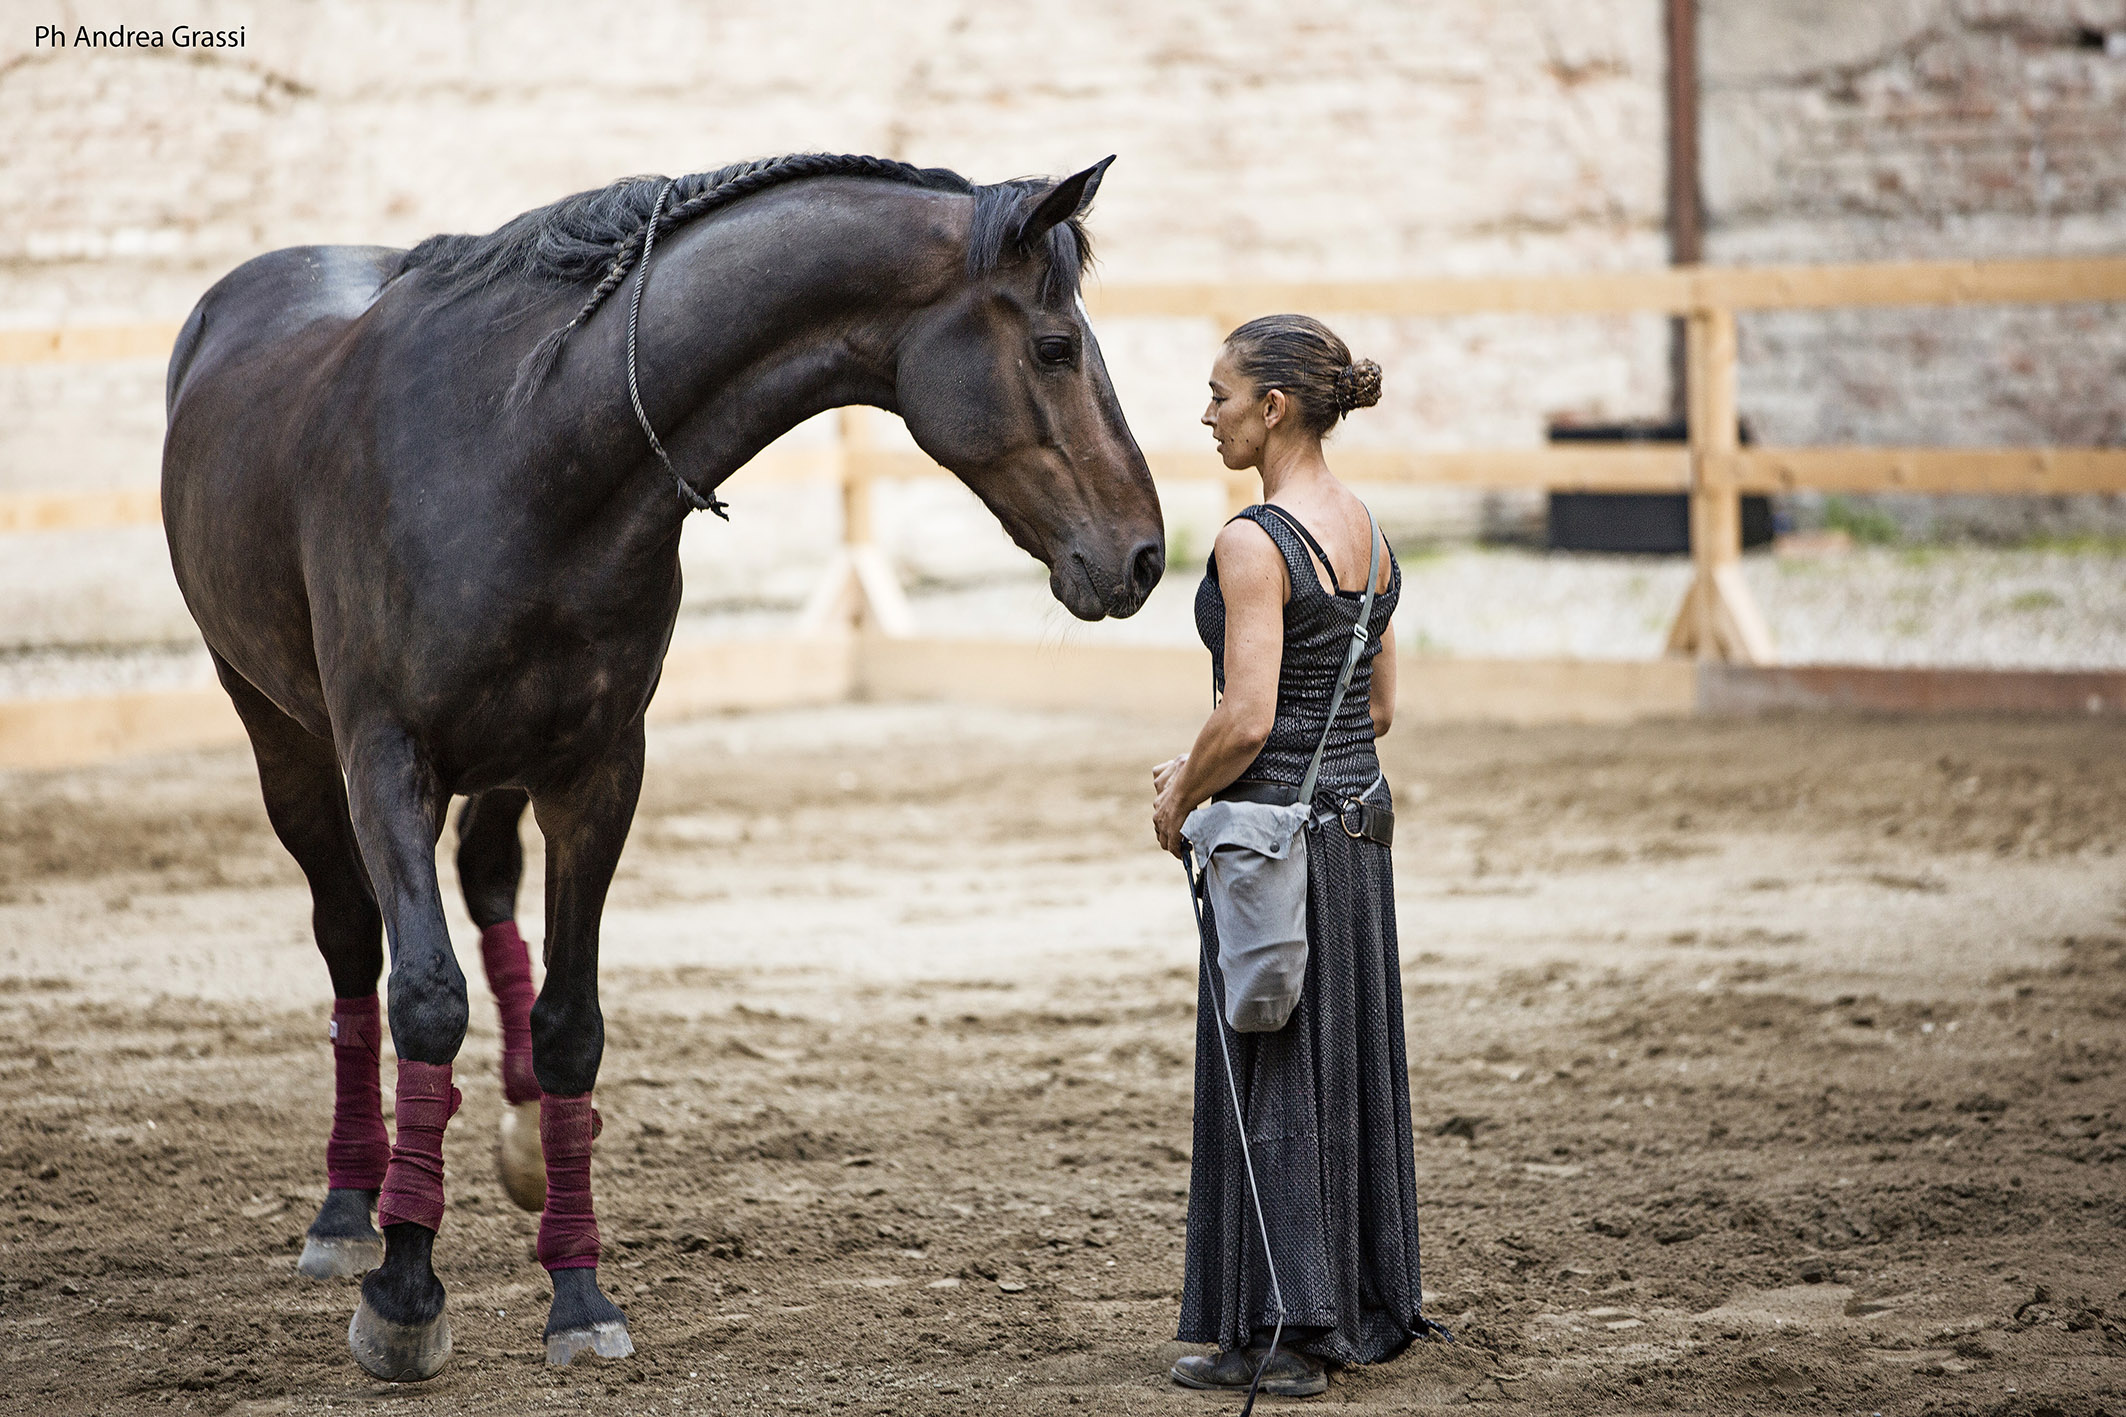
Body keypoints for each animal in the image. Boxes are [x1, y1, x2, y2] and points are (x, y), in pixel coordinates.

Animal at [163, 152, 1165, 1376]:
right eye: (1056, 348)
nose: (1144, 553)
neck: (527, 445)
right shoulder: (384, 761)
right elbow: (425, 1000)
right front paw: (404, 1293)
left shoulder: (598, 775)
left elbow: (571, 1023)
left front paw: (577, 1290)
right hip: (284, 740)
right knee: (354, 947)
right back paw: (353, 1207)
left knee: (489, 886)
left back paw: (512, 1135)